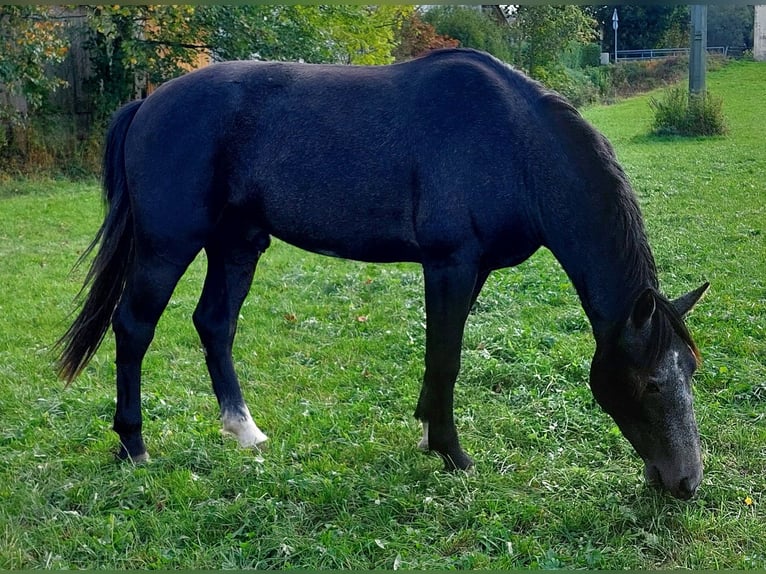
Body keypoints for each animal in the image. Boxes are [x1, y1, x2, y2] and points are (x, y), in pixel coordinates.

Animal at [57, 48, 712, 500]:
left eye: (691, 371)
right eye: (653, 383)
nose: (686, 483)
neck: (515, 146)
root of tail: (148, 103)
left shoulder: (468, 271)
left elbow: (438, 355)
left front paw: (427, 434)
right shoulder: (451, 263)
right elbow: (447, 358)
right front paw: (453, 455)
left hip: (238, 243)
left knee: (214, 324)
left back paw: (244, 432)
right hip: (167, 246)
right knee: (134, 328)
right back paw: (134, 446)